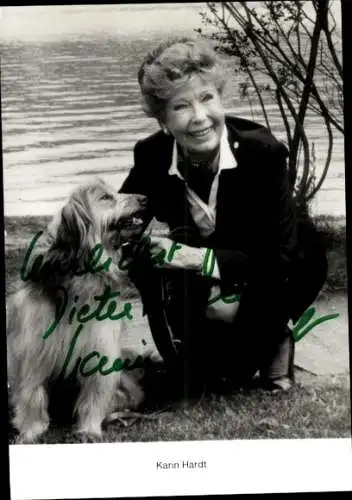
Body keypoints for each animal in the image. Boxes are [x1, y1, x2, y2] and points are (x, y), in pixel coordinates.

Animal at [6, 178, 149, 444]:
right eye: (105, 197)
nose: (145, 198)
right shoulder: (33, 352)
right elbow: (32, 394)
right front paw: (32, 431)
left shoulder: (99, 347)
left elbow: (94, 395)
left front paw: (90, 429)